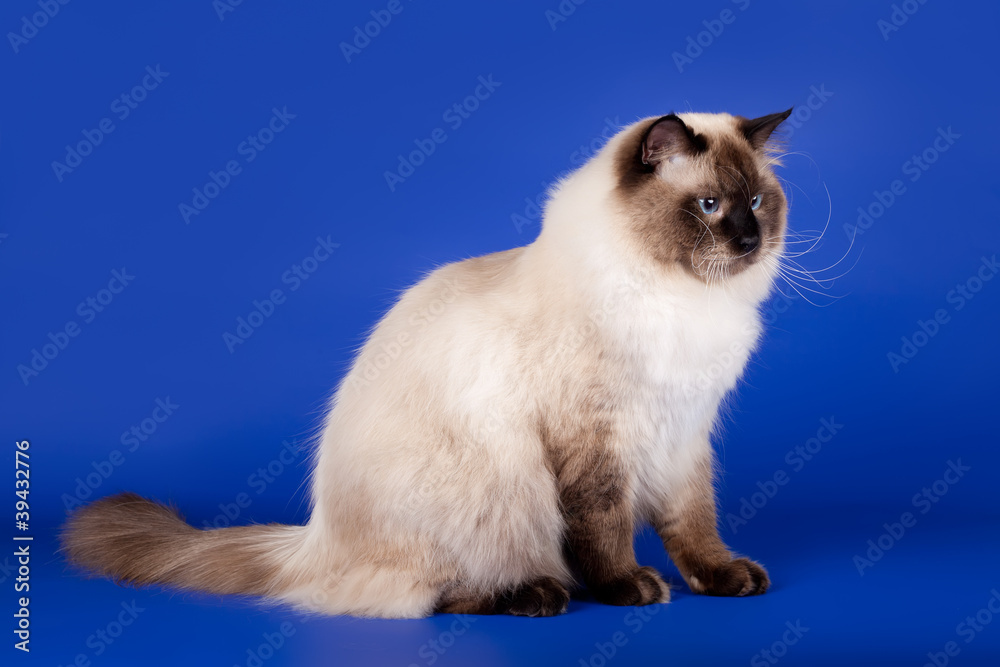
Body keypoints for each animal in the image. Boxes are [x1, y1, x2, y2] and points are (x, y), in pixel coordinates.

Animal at [62, 107, 792, 620]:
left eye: (757, 203)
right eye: (708, 206)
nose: (750, 241)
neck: (686, 300)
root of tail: (312, 536)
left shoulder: (684, 430)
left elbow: (693, 521)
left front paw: (723, 578)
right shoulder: (597, 440)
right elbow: (605, 527)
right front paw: (628, 587)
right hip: (499, 491)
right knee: (432, 596)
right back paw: (536, 594)